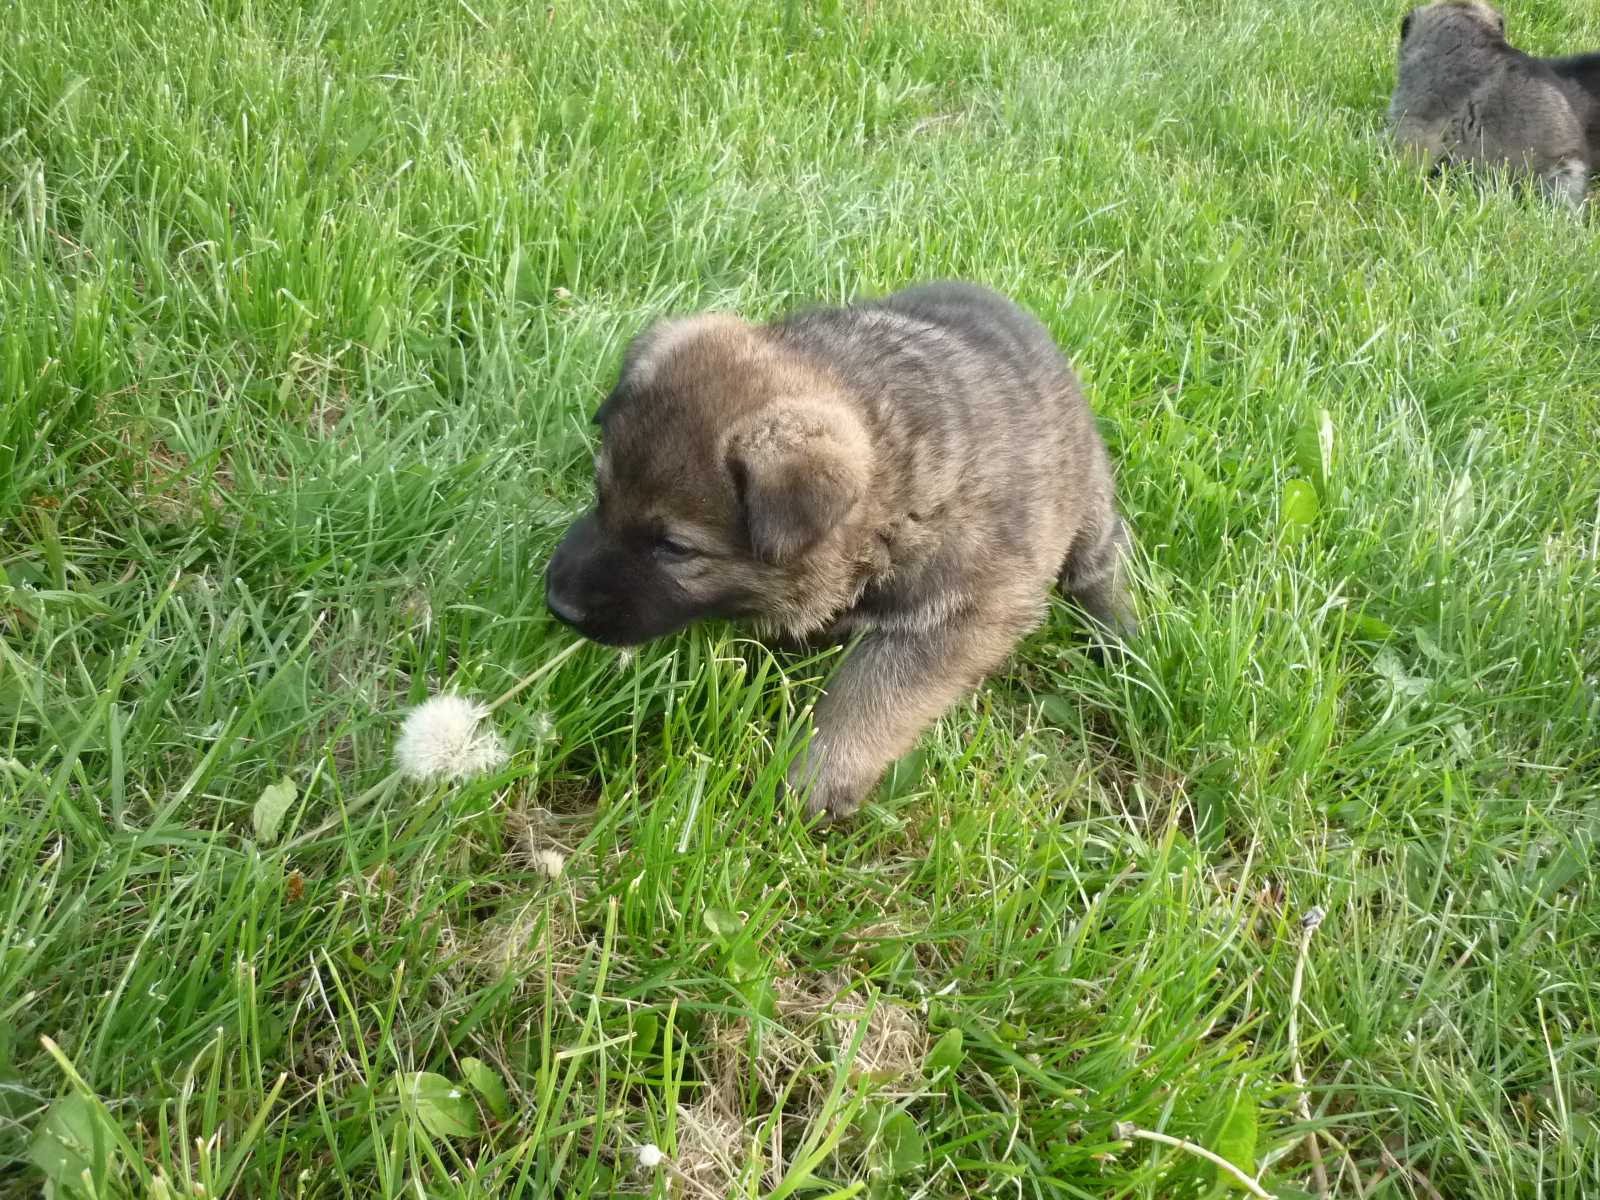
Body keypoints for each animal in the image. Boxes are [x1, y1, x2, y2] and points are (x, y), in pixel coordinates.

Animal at [544, 282, 1135, 820]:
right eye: (601, 494)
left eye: (673, 548)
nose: (558, 604)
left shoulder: (961, 613)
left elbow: (870, 697)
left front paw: (813, 776)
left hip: (1088, 503)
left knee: (1100, 564)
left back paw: (1121, 635)